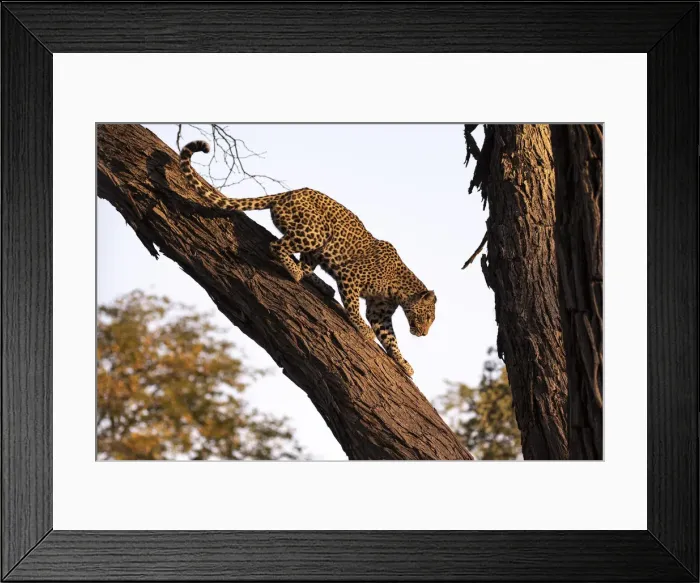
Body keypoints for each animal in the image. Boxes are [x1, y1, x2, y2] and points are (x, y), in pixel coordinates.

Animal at [178, 140, 437, 377]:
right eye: (427, 317)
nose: (423, 333)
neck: (399, 291)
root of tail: (288, 192)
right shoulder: (350, 277)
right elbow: (354, 308)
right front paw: (363, 330)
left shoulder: (379, 312)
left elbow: (391, 339)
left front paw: (403, 363)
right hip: (316, 232)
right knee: (278, 246)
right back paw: (295, 273)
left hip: (317, 246)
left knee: (305, 266)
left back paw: (319, 283)